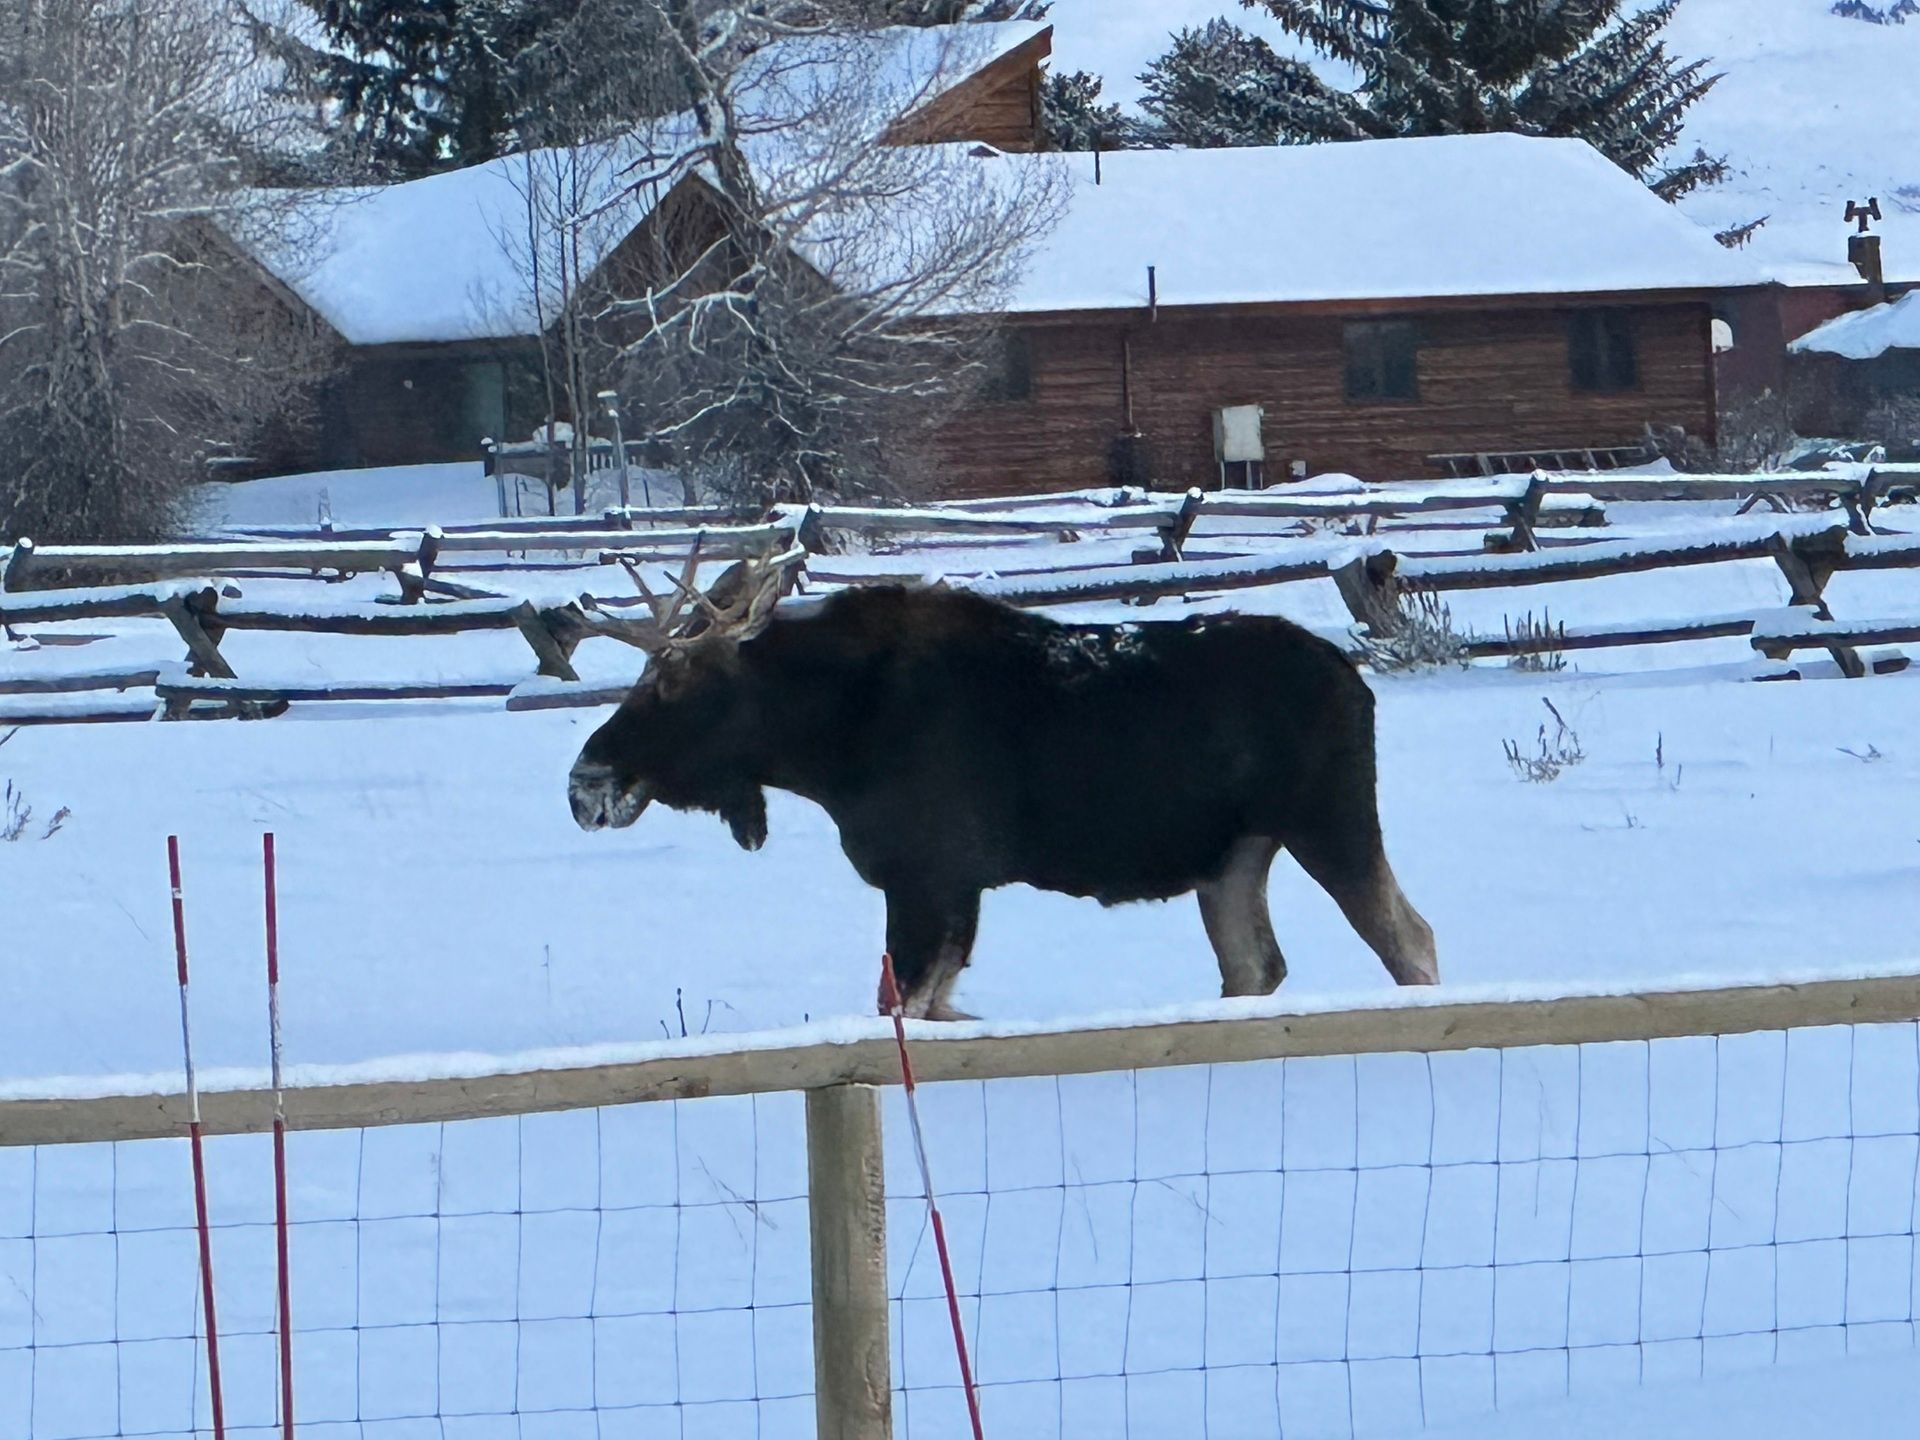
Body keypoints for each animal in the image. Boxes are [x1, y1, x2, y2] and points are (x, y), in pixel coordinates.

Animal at [567, 563, 1437, 1019]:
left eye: (669, 683)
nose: (584, 783)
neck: (823, 746)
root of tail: (1356, 679)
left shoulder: (930, 877)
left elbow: (905, 1008)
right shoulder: (953, 890)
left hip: (1331, 819)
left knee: (1412, 940)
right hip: (1232, 856)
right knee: (1256, 965)